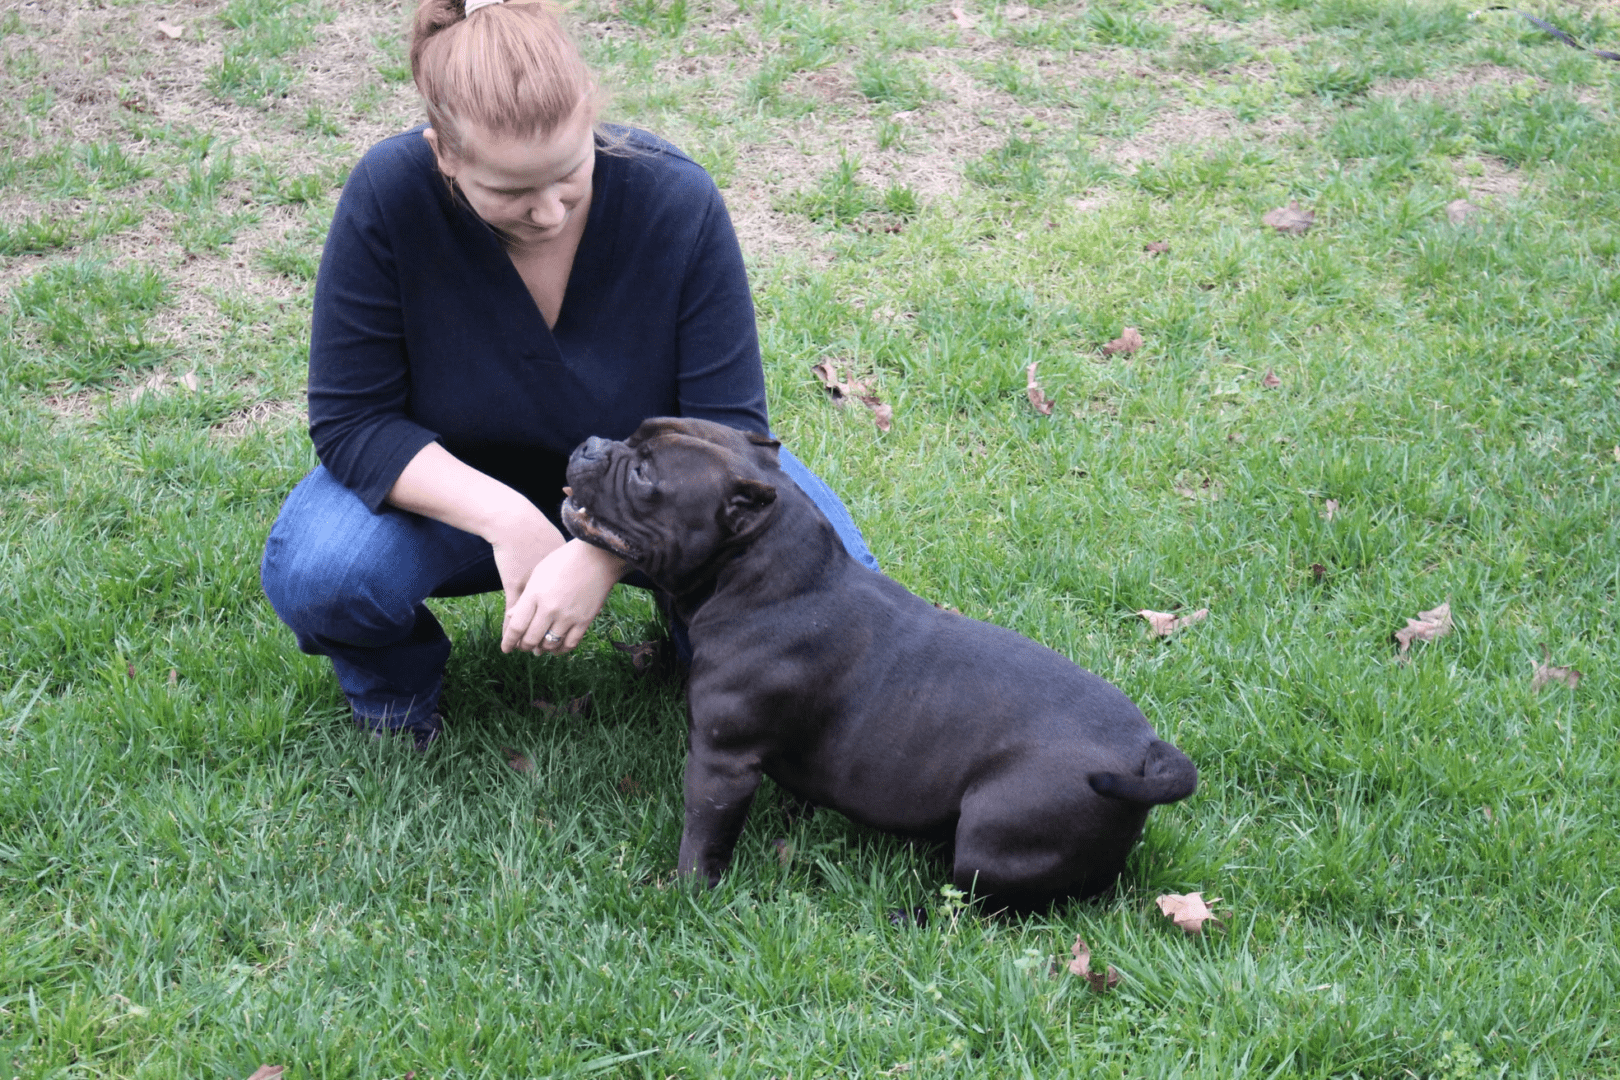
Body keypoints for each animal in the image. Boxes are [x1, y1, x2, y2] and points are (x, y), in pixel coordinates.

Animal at [563, 417, 1198, 906]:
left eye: (645, 474)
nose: (589, 443)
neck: (766, 579)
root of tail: (1145, 749)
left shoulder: (722, 764)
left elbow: (701, 838)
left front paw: (685, 894)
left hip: (996, 830)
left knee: (981, 903)